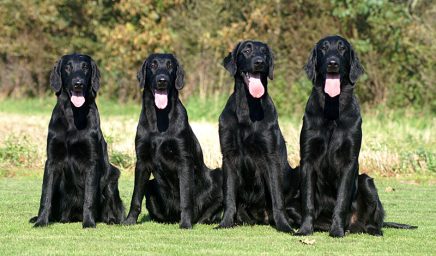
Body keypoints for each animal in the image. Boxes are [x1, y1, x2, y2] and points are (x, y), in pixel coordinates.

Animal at [29, 53, 124, 228]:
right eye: (67, 67)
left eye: (85, 68)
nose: (78, 84)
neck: (73, 115)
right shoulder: (52, 161)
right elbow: (45, 195)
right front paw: (41, 221)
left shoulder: (91, 162)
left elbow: (89, 197)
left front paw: (89, 223)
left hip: (112, 179)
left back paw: (112, 220)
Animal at [122, 53, 223, 228]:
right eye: (153, 66)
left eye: (170, 66)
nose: (162, 80)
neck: (160, 118)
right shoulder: (142, 161)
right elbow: (135, 197)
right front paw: (130, 220)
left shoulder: (184, 160)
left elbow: (186, 197)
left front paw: (186, 224)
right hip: (151, 186)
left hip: (218, 174)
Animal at [215, 41, 296, 233]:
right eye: (247, 50)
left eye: (265, 53)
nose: (260, 62)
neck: (247, 108)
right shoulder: (228, 156)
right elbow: (229, 196)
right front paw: (225, 223)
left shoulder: (270, 157)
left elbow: (277, 197)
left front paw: (284, 226)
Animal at [294, 35, 418, 237]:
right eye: (323, 48)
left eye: (342, 48)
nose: (333, 63)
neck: (332, 108)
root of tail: (352, 226)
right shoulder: (307, 159)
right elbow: (308, 201)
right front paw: (304, 230)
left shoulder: (349, 160)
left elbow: (342, 200)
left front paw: (336, 231)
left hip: (366, 181)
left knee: (373, 222)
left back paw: (370, 230)